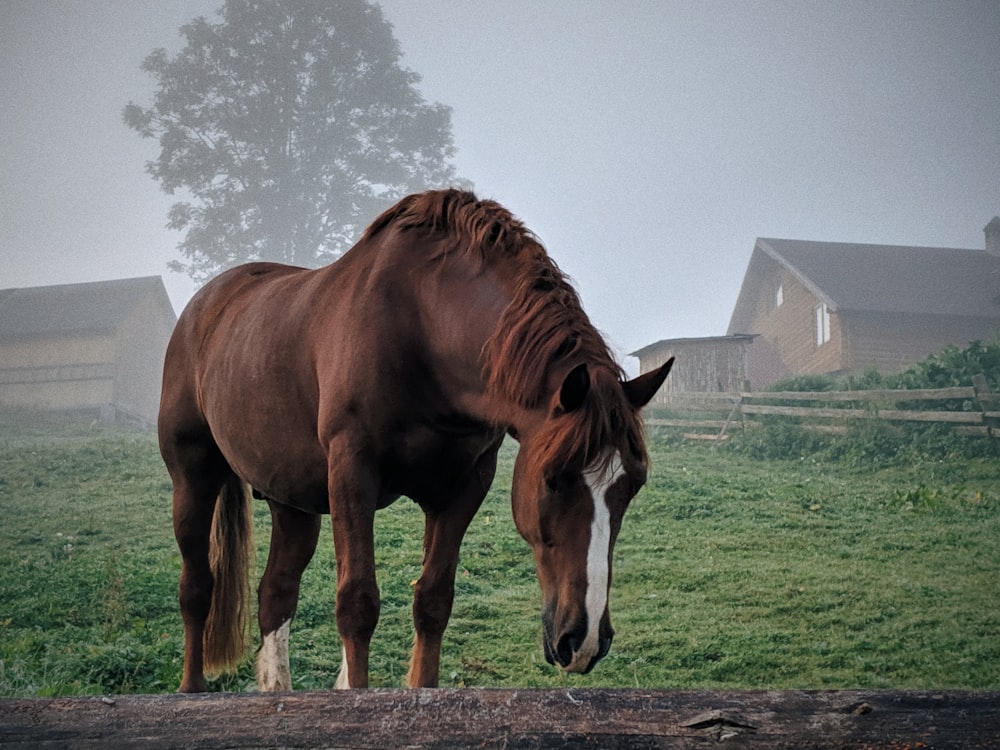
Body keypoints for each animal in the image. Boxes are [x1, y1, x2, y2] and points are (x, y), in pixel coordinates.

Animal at [158, 189, 672, 692]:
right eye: (553, 479)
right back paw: (191, 689)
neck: (423, 328)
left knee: (276, 593)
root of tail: (206, 303)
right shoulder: (352, 473)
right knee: (196, 588)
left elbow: (433, 601)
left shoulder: (464, 486)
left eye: (633, 485)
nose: (583, 641)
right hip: (193, 478)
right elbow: (357, 605)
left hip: (291, 500)